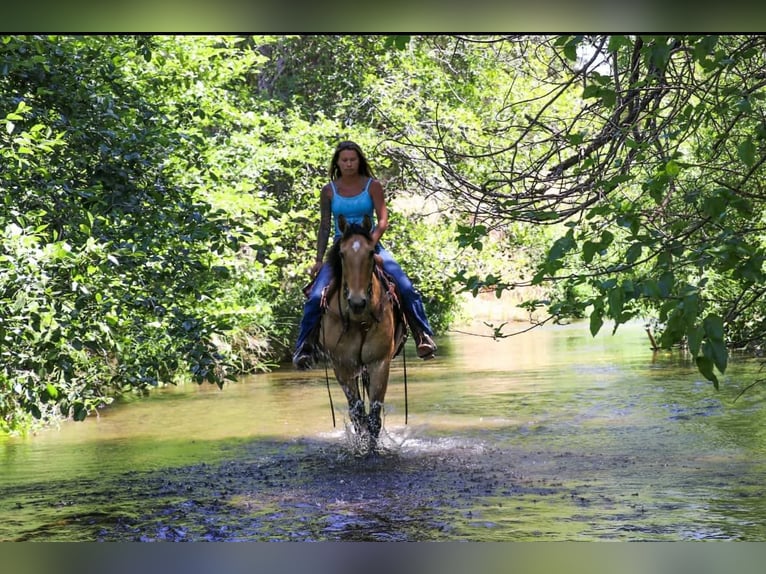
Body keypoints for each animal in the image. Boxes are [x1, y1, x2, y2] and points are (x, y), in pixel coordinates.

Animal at [318, 215, 408, 454]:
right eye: (341, 254)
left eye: (370, 253)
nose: (357, 302)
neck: (359, 321)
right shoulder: (343, 366)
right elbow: (357, 413)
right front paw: (361, 447)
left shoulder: (379, 363)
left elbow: (374, 416)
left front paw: (373, 450)